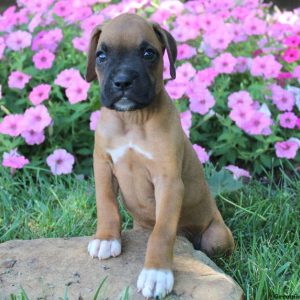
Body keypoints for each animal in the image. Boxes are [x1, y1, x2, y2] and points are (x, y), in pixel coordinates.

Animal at [84, 12, 234, 298]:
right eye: (101, 56)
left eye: (148, 53)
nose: (122, 81)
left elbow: (162, 232)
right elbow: (106, 204)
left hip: (217, 237)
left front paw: (156, 274)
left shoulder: (169, 183)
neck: (132, 119)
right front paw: (106, 238)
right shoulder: (103, 166)